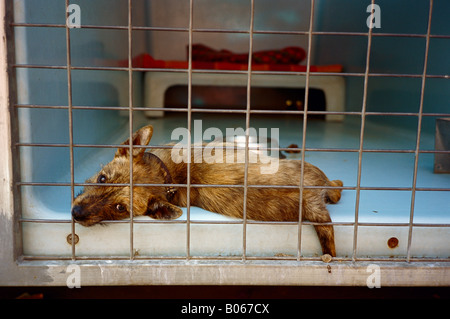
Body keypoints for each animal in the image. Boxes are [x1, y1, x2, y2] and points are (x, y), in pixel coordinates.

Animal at [72, 125, 342, 258]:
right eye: (102, 178)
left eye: (120, 208)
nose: (75, 213)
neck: (167, 175)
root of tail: (310, 199)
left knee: (334, 187)